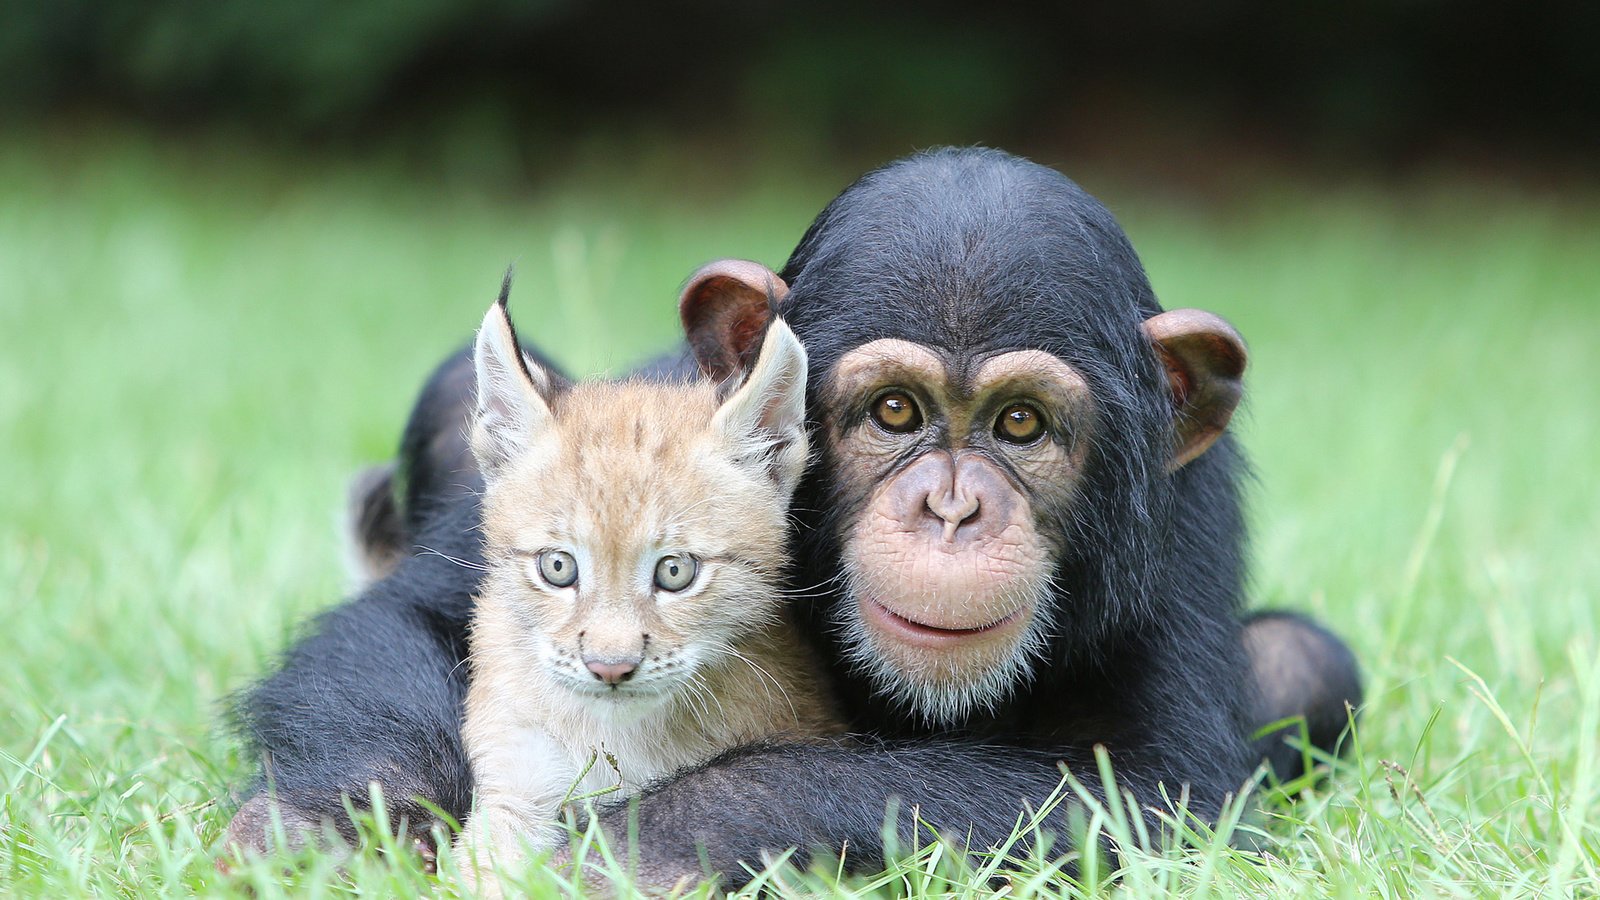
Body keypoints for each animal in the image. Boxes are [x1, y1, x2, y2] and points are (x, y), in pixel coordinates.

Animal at [225, 147, 1363, 883]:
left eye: (1021, 424)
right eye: (896, 411)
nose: (952, 509)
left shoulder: (1178, 539)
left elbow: (1153, 795)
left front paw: (643, 844)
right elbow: (406, 623)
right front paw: (322, 826)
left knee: (1306, 661)